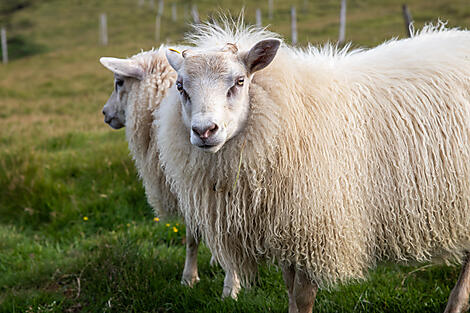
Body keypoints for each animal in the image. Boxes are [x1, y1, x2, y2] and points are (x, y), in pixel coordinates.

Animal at [98, 47, 239, 298]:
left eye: (119, 82)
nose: (105, 113)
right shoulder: (190, 189)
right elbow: (195, 237)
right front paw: (196, 275)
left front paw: (223, 285)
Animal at [157, 20, 470, 312]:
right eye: (180, 87)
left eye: (240, 81)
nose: (204, 131)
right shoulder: (284, 228)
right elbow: (289, 290)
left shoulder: (314, 227)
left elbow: (303, 296)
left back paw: (455, 304)